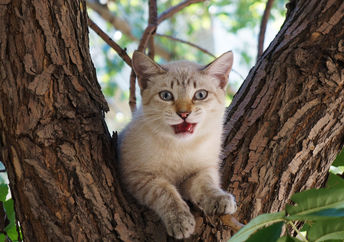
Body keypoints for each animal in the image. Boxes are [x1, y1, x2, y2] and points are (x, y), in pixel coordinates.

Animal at [119, 50, 236, 238]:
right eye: (166, 96)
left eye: (200, 95)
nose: (184, 114)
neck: (181, 147)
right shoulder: (137, 175)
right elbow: (166, 192)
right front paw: (180, 220)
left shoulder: (202, 170)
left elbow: (206, 184)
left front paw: (218, 198)